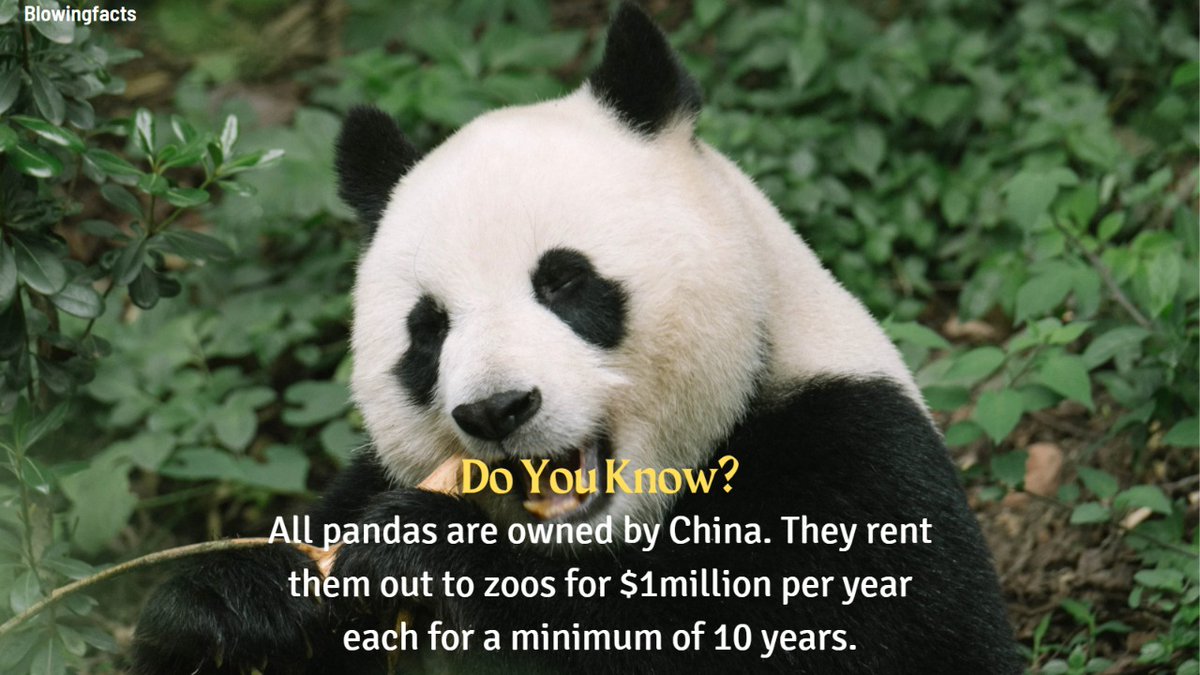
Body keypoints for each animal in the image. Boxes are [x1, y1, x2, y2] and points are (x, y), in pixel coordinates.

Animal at [132, 3, 1018, 674]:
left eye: (563, 282)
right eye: (429, 330)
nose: (496, 409)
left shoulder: (853, 459)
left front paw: (435, 553)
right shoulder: (358, 496)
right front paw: (229, 602)